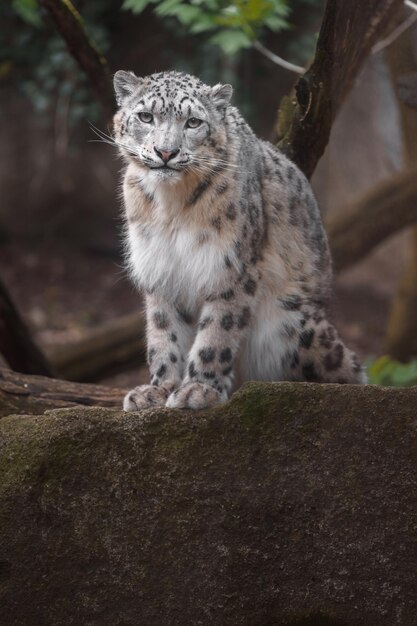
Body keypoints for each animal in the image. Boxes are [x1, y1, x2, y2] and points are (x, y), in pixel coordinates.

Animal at [112, 69, 366, 410]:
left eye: (193, 122)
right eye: (145, 116)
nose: (166, 152)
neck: (171, 205)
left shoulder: (230, 266)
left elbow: (217, 331)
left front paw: (198, 389)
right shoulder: (160, 269)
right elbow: (164, 332)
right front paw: (158, 390)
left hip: (293, 323)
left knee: (349, 368)